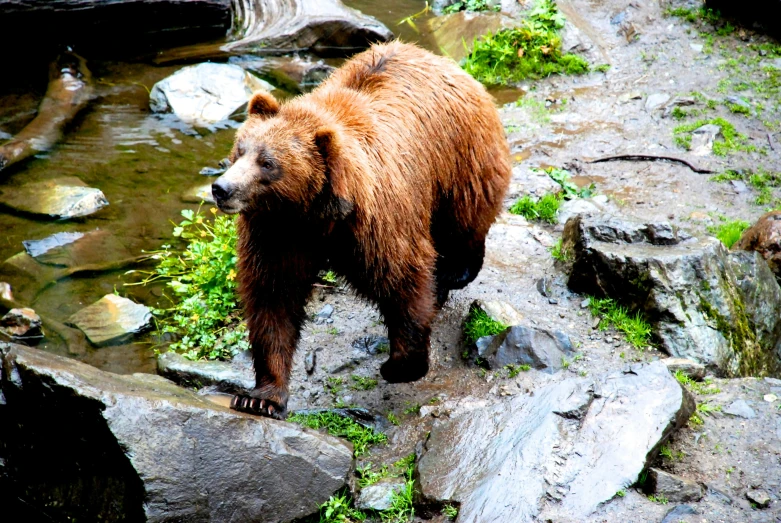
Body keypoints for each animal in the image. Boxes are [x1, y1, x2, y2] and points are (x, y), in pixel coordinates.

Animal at [212, 41, 512, 420]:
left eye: (267, 163)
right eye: (240, 150)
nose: (221, 188)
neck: (315, 213)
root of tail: (446, 62)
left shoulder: (375, 223)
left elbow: (403, 278)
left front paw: (400, 364)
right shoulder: (278, 233)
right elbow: (273, 299)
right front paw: (261, 397)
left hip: (459, 161)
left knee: (464, 222)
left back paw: (453, 272)